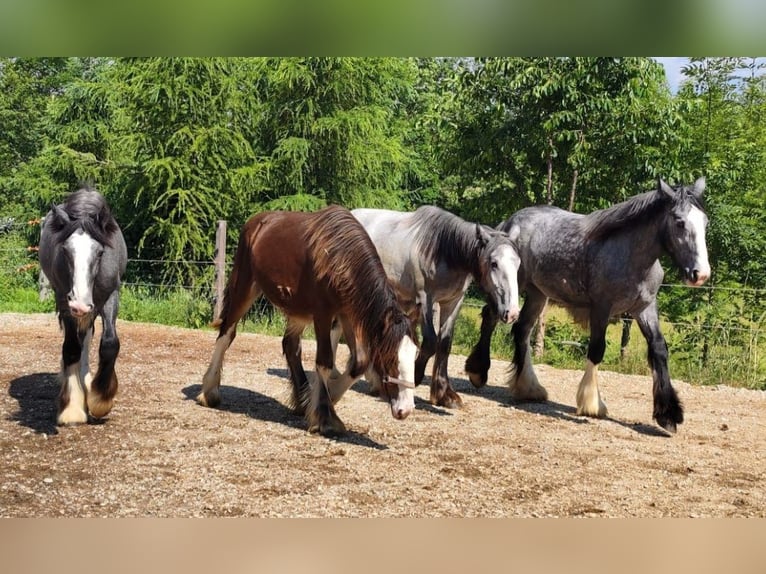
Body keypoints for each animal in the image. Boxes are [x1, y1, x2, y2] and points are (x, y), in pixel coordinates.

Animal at [38, 187, 127, 426]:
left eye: (100, 252)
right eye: (66, 251)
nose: (79, 303)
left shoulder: (110, 295)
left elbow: (109, 343)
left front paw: (100, 400)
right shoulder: (64, 301)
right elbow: (71, 349)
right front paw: (72, 408)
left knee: (86, 337)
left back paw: (87, 383)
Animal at [195, 206, 416, 436]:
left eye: (415, 356)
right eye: (390, 358)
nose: (405, 409)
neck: (338, 257)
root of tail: (257, 221)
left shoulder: (347, 314)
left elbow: (360, 361)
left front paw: (326, 399)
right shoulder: (323, 314)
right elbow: (325, 362)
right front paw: (325, 415)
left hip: (296, 308)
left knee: (291, 346)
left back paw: (302, 400)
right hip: (245, 286)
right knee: (226, 334)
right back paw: (209, 392)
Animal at [338, 206, 524, 410]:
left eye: (518, 264)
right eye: (494, 263)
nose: (512, 313)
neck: (444, 251)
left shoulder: (453, 302)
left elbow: (444, 343)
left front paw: (445, 394)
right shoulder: (426, 299)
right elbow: (430, 342)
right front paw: (415, 376)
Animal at [464, 178, 712, 434]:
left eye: (705, 222)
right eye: (680, 222)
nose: (700, 274)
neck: (630, 256)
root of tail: (509, 223)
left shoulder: (645, 308)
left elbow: (659, 349)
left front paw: (668, 415)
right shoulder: (601, 308)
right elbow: (597, 349)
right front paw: (592, 404)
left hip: (537, 293)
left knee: (522, 330)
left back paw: (529, 388)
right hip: (513, 286)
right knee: (491, 317)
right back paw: (478, 372)